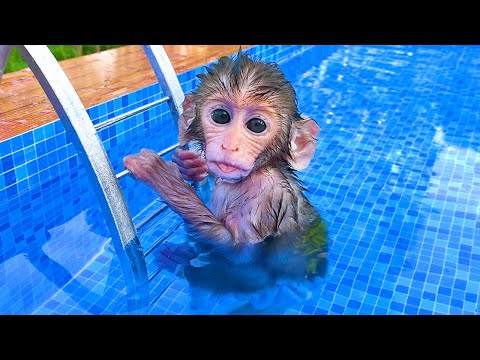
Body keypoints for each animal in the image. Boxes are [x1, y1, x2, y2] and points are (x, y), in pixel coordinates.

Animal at [124, 48, 328, 290]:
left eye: (257, 125)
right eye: (221, 116)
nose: (230, 145)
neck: (258, 170)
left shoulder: (263, 201)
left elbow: (239, 255)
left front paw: (161, 175)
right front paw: (189, 164)